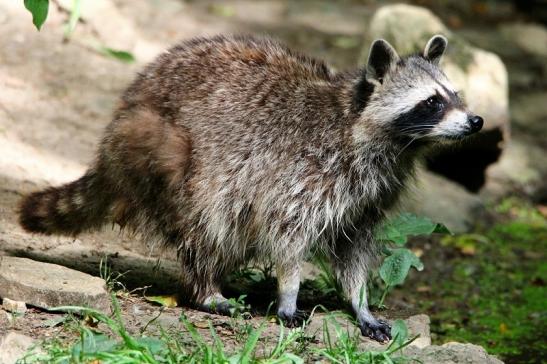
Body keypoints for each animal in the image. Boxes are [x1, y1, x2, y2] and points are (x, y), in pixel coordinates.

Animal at [19, 33, 484, 342]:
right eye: (432, 102)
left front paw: (359, 302)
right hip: (162, 148)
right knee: (203, 221)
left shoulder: (368, 195)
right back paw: (206, 287)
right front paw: (289, 294)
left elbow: (354, 248)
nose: (477, 121)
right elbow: (287, 236)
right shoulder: (303, 172)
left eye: (455, 95)